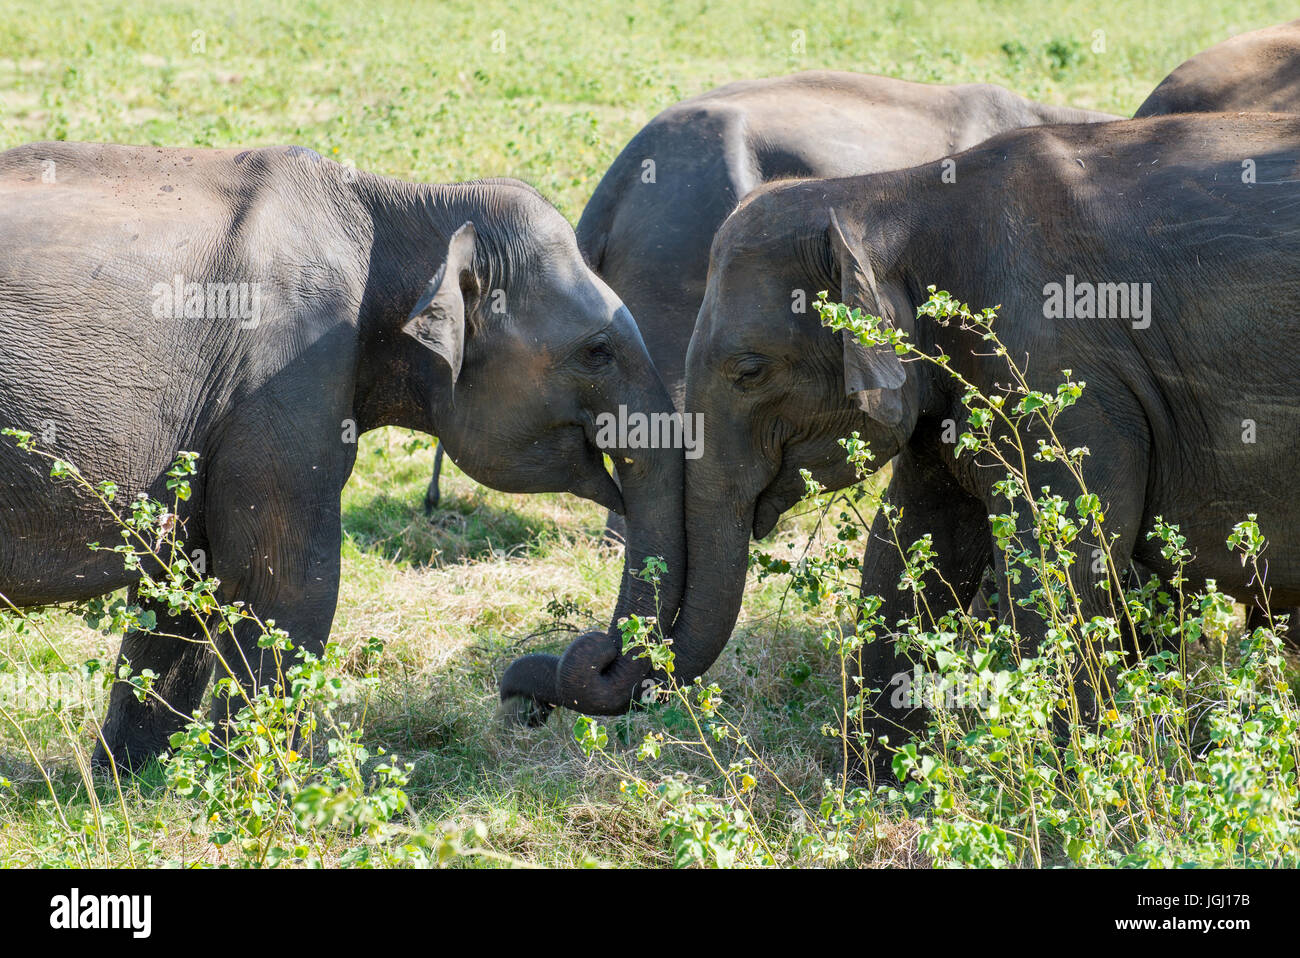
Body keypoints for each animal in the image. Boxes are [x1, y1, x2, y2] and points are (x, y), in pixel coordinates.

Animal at [0, 143, 686, 769]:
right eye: (598, 351)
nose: (525, 704)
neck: (399, 204)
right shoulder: (284, 372)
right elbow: (288, 581)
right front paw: (260, 785)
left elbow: (189, 581)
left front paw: (132, 783)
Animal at [501, 111, 1300, 774]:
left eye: (749, 370)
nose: (520, 701)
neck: (893, 193)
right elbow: (911, 545)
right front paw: (868, 788)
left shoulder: (1065, 375)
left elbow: (1061, 561)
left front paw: (1071, 787)